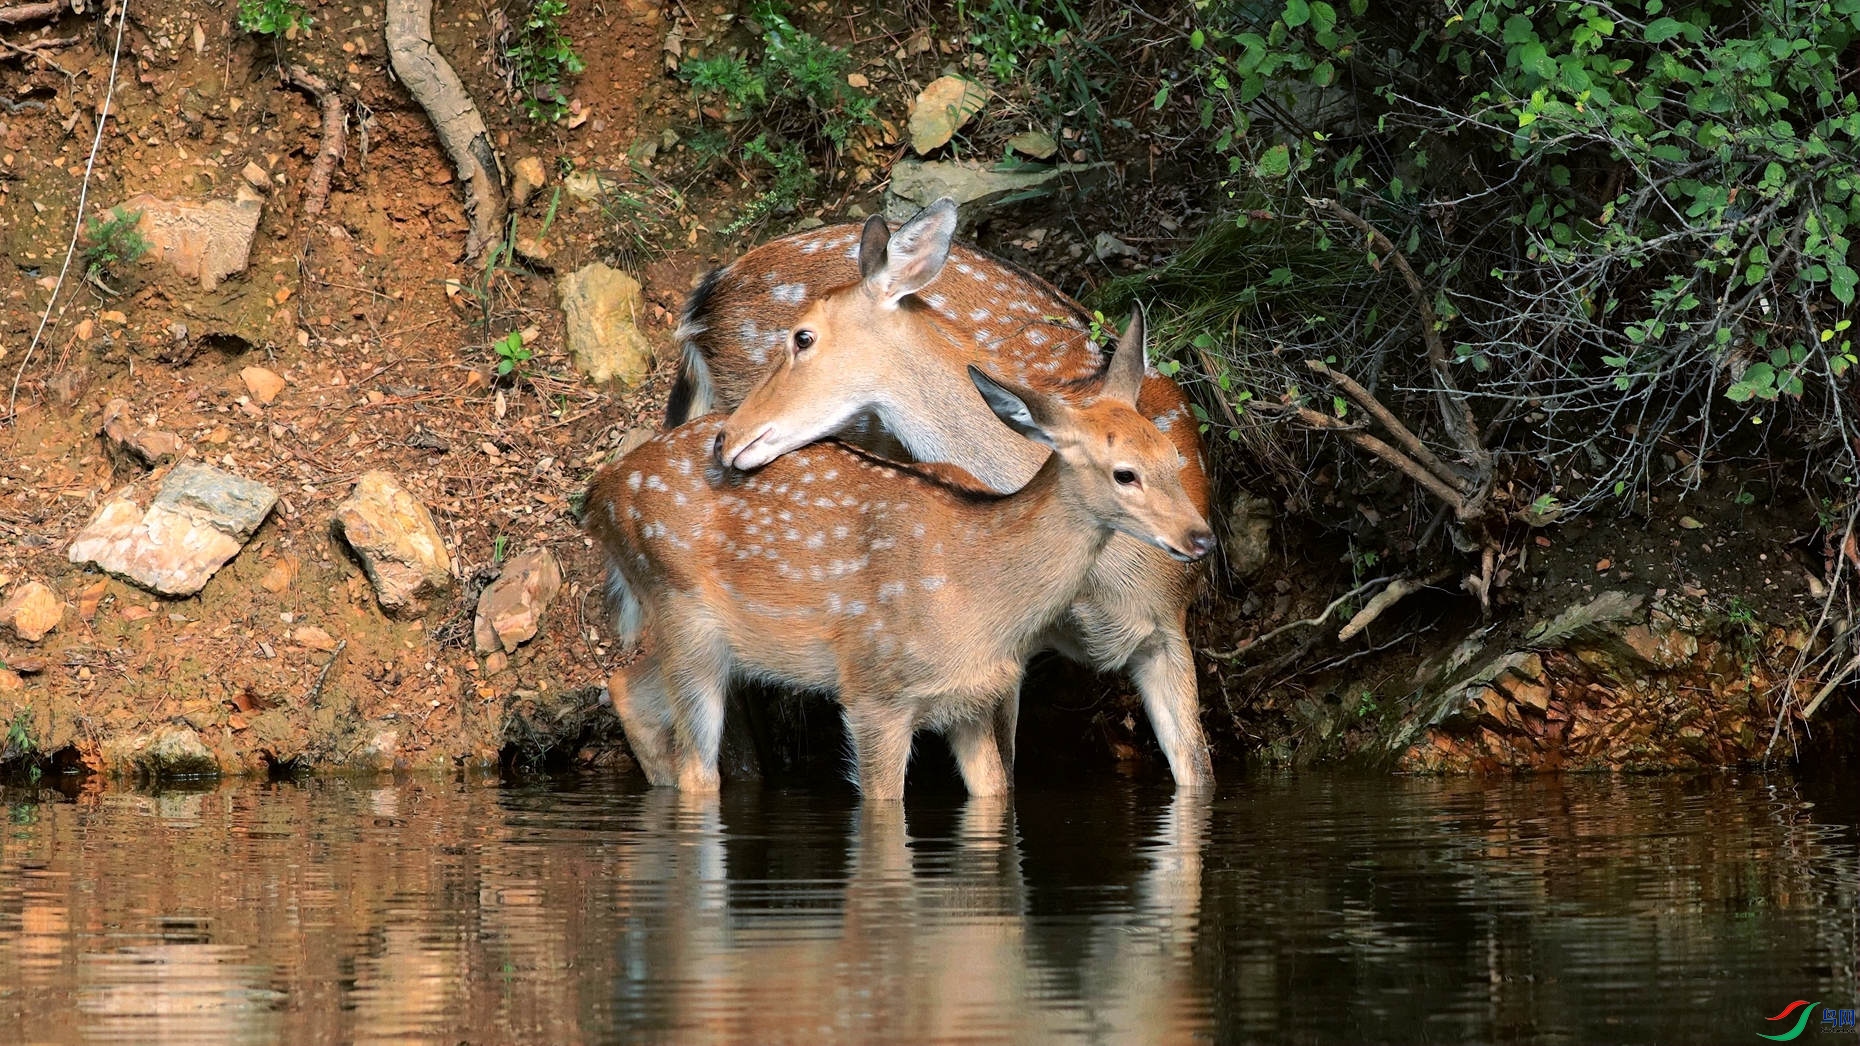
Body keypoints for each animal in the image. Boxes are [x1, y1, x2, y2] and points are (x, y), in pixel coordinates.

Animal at [587, 310, 1212, 796]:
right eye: (1125, 473)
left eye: (1172, 456)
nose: (1201, 537)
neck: (977, 592)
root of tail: (598, 497)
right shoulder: (874, 691)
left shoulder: (972, 698)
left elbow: (997, 792)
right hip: (683, 615)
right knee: (697, 769)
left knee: (627, 690)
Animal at [669, 195, 1220, 785]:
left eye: (803, 337)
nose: (727, 438)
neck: (1108, 583)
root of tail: (702, 300)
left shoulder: (1169, 624)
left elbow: (1198, 770)